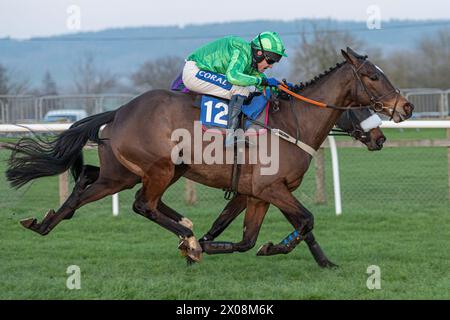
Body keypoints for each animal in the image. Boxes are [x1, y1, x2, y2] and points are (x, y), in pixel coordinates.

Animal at [5, 47, 412, 262]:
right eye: (373, 77)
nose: (405, 108)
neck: (293, 121)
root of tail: (119, 111)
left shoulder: (258, 192)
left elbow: (249, 235)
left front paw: (320, 261)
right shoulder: (270, 188)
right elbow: (306, 220)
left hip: (127, 171)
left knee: (89, 180)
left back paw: (44, 222)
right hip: (157, 168)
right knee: (142, 204)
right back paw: (186, 238)